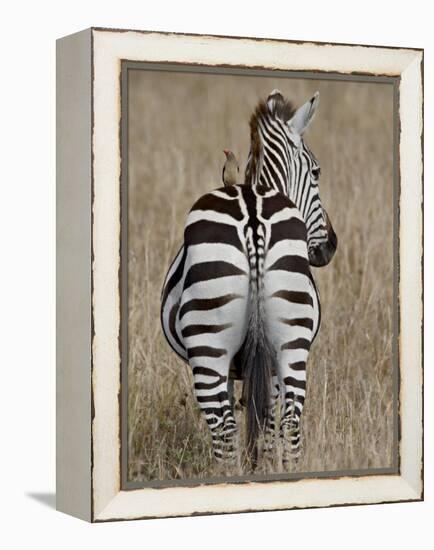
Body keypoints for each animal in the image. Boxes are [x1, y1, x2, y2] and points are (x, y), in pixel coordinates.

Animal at [161, 90, 338, 470]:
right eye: (317, 171)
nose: (330, 246)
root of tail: (253, 217)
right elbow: (264, 424)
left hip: (209, 346)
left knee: (225, 429)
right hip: (291, 341)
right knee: (289, 420)